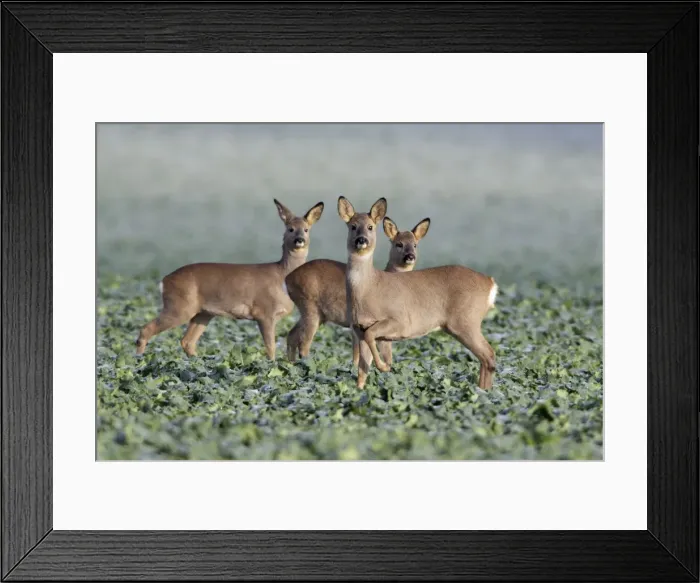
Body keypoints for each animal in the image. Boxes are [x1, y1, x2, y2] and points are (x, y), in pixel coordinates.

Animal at [135, 199, 325, 359]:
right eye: (290, 228)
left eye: (306, 229)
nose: (299, 240)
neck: (281, 275)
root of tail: (164, 281)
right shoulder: (264, 312)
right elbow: (270, 348)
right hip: (179, 306)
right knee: (146, 329)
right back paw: (139, 361)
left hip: (203, 313)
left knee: (187, 341)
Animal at [285, 215, 431, 367]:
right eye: (399, 244)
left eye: (415, 244)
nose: (410, 256)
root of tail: (288, 278)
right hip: (310, 308)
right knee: (304, 344)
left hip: (314, 314)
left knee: (291, 335)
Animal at [337, 196, 498, 390]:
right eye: (352, 226)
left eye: (370, 226)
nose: (361, 240)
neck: (369, 287)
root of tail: (490, 282)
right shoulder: (359, 328)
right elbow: (362, 372)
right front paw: (358, 391)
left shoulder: (400, 321)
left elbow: (372, 344)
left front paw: (384, 366)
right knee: (485, 358)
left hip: (466, 321)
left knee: (489, 355)